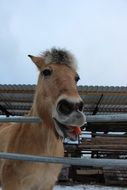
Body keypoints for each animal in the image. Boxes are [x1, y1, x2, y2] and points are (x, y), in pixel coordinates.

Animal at [0, 48, 86, 190]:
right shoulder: (13, 185)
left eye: (77, 78)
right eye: (46, 72)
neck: (45, 149)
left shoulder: (47, 185)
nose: (73, 108)